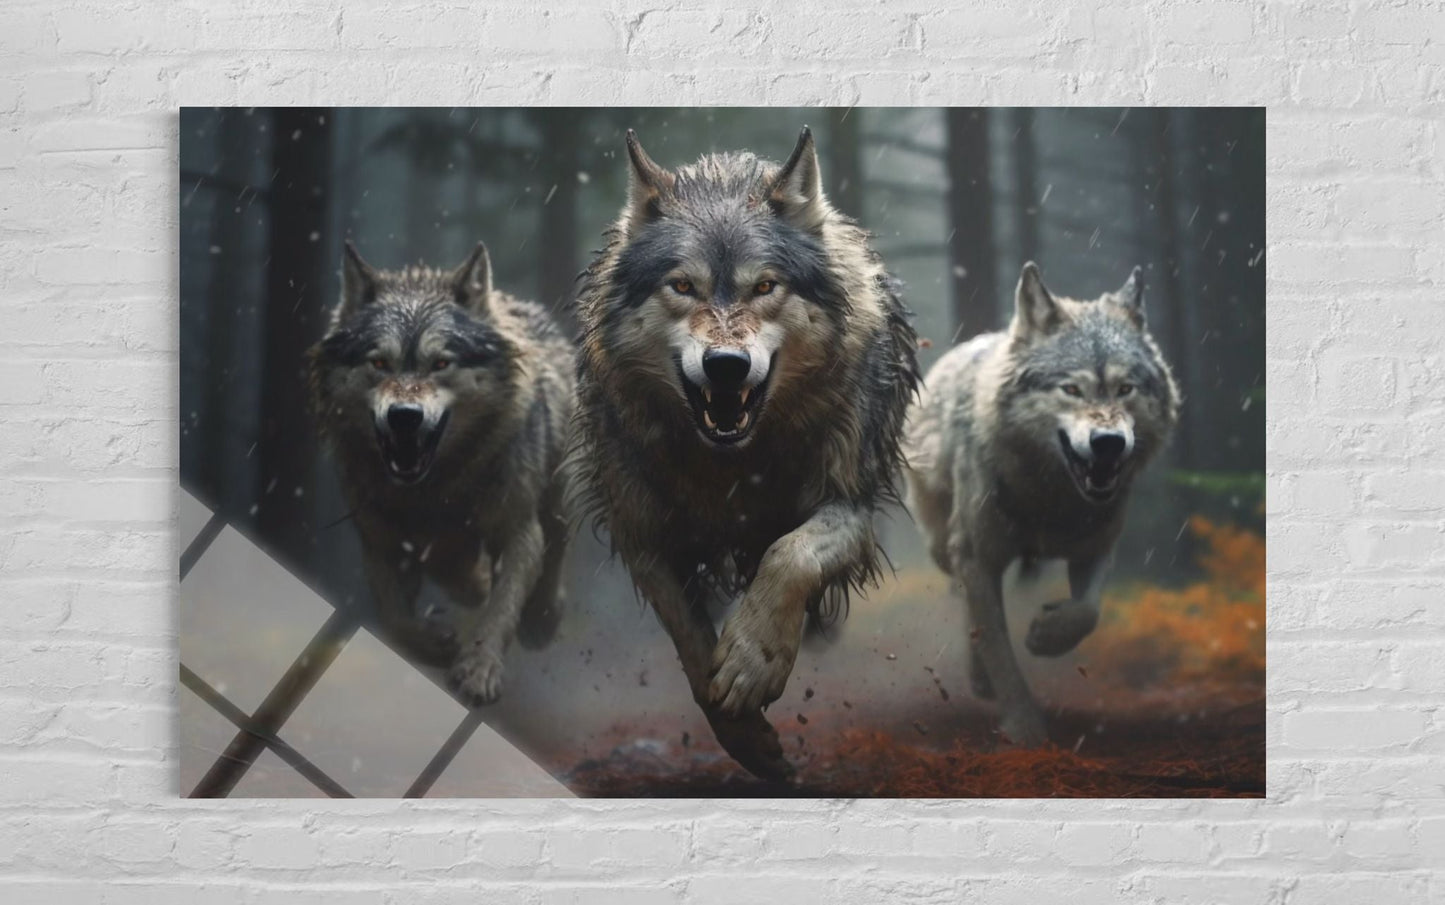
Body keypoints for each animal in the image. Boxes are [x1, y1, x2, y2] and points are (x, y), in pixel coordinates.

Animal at [308, 240, 574, 706]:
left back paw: (541, 617)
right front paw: (434, 643)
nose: (404, 416)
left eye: (440, 364)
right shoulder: (379, 542)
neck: (433, 490)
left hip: (556, 496)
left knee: (556, 545)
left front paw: (480, 669)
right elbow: (396, 619)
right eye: (379, 363)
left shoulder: (519, 531)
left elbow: (500, 611)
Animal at [571, 127, 920, 780]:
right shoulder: (644, 535)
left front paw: (753, 663)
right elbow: (689, 639)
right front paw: (745, 739)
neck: (734, 465)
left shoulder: (850, 505)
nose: (726, 365)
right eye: (683, 286)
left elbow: (791, 555)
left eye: (764, 286)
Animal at [904, 262, 1180, 746]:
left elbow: (1086, 612)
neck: (1050, 501)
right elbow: (999, 651)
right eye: (1071, 389)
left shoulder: (1097, 549)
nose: (1108, 442)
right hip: (945, 547)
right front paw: (1025, 729)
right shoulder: (978, 558)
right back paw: (979, 678)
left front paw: (1045, 636)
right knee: (965, 600)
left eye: (1125, 388)